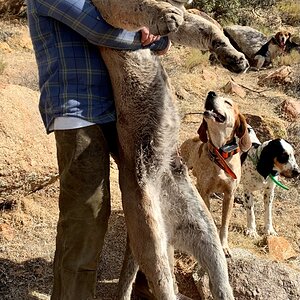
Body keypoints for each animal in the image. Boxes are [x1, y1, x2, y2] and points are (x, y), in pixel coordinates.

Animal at [179, 91, 252, 255]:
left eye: (228, 102)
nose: (211, 93)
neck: (220, 154)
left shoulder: (229, 195)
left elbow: (224, 225)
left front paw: (224, 246)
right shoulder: (205, 192)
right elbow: (210, 219)